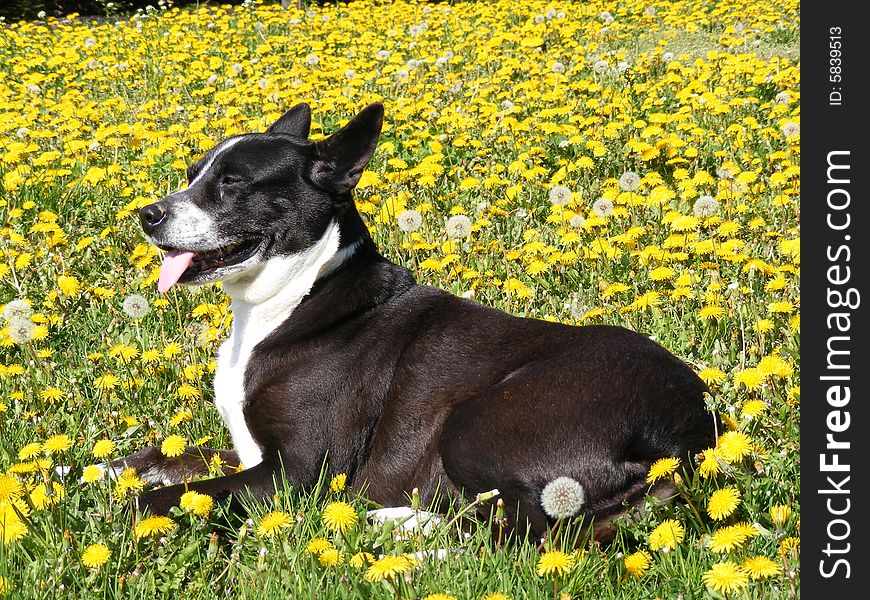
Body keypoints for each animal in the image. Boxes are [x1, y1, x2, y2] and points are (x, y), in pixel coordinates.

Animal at [116, 103, 720, 544]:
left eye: (233, 183)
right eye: (192, 175)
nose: (147, 214)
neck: (299, 293)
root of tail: (692, 426)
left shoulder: (297, 473)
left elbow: (161, 497)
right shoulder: (249, 452)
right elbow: (171, 460)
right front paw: (105, 469)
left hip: (474, 425)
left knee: (533, 538)